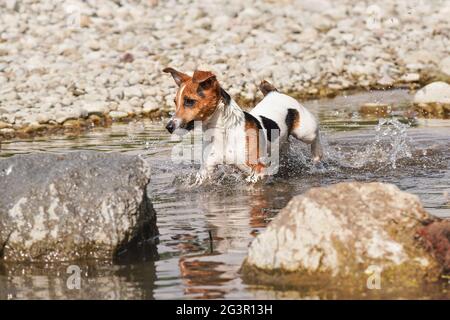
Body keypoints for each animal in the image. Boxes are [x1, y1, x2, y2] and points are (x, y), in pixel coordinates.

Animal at [163, 67, 322, 182]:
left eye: (189, 101)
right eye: (175, 102)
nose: (169, 127)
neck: (222, 131)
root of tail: (275, 93)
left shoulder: (258, 168)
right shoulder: (206, 169)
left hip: (305, 131)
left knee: (315, 136)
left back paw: (316, 157)